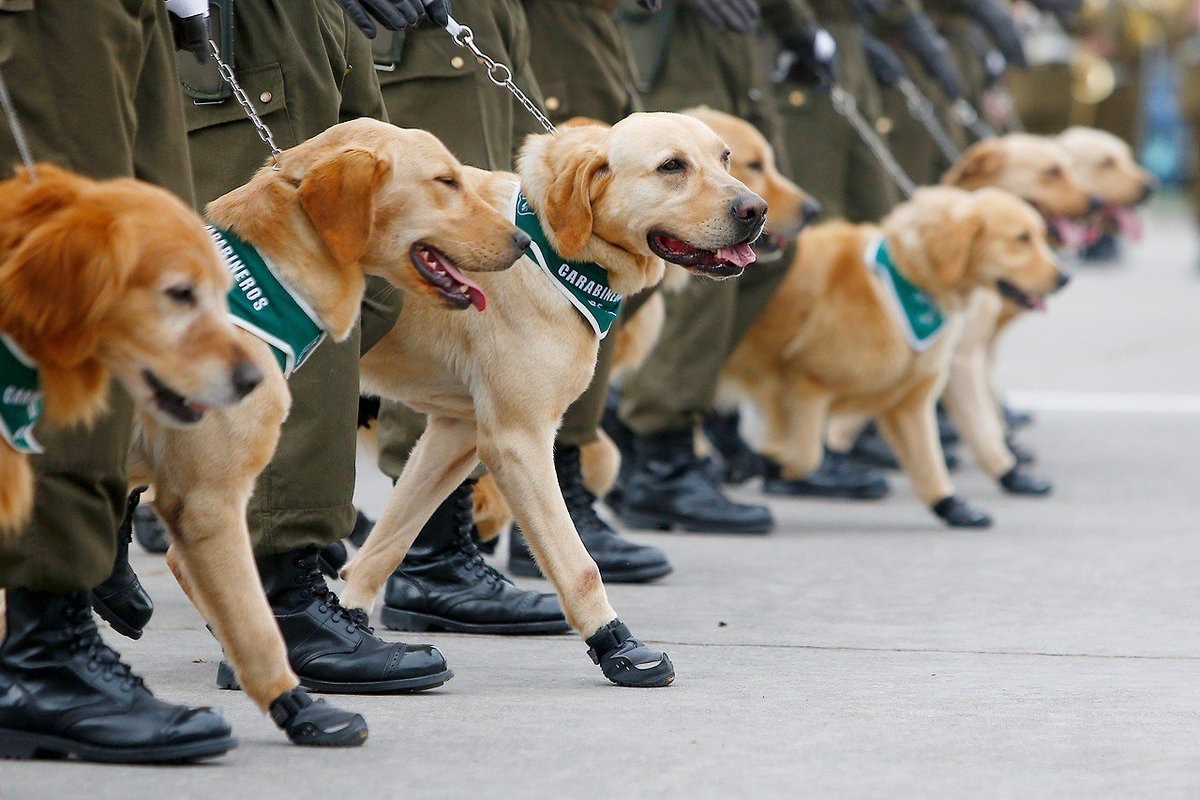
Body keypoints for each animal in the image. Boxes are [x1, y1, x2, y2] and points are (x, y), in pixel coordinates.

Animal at [126, 118, 530, 743]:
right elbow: (255, 623)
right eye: (446, 181)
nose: (523, 242)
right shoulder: (207, 502)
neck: (260, 292)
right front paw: (299, 703)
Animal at [338, 112, 768, 690]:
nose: (755, 209)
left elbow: (390, 540)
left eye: (724, 158)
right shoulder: (517, 440)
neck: (551, 256)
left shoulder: (458, 431)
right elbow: (579, 564)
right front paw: (617, 644)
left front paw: (350, 616)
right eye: (671, 166)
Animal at [724, 185, 1065, 527]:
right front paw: (770, 464)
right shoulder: (804, 385)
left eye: (1040, 235)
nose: (1064, 278)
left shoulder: (916, 390)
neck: (905, 284)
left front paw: (955, 502)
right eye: (1021, 238)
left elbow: (940, 452)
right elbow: (807, 454)